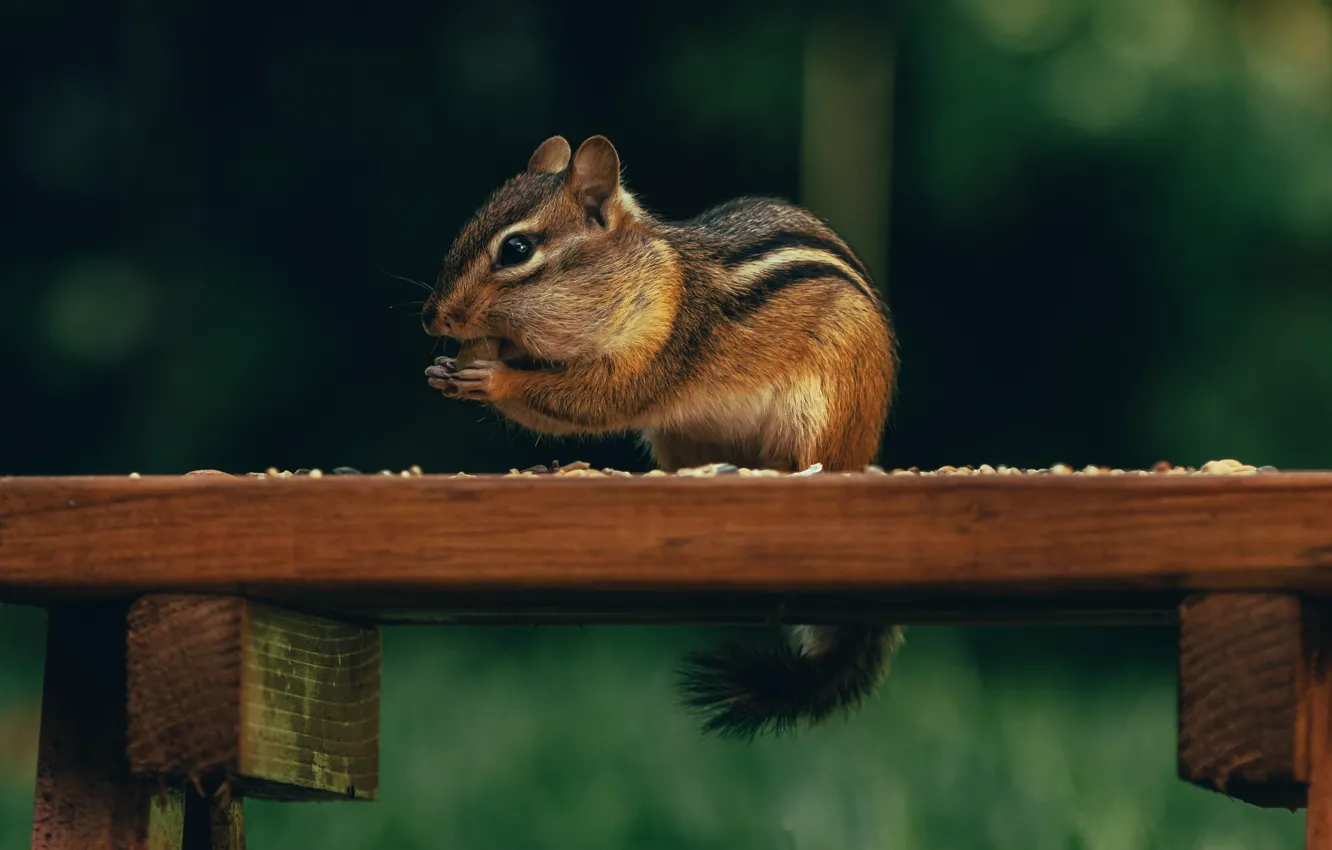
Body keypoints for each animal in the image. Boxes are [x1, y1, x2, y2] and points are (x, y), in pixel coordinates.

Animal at [421, 135, 903, 739]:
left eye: (516, 249)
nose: (431, 318)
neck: (642, 277)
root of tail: (864, 448)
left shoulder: (660, 341)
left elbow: (596, 400)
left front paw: (492, 378)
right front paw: (444, 369)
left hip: (821, 418)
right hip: (679, 438)